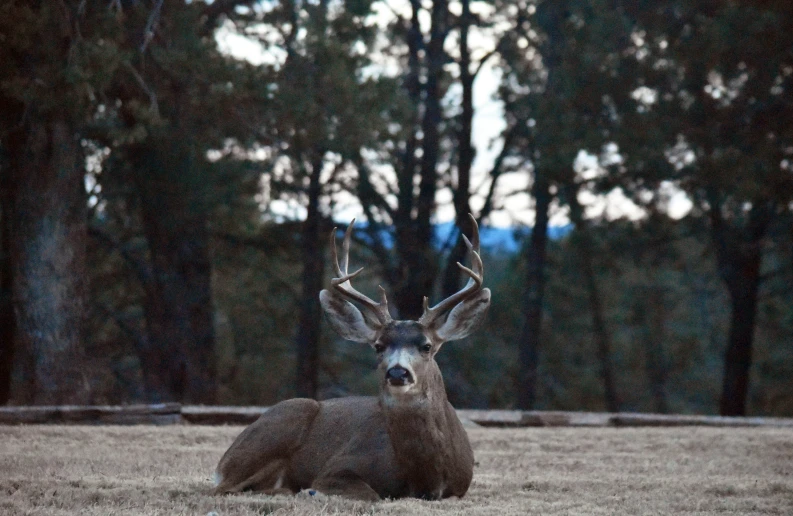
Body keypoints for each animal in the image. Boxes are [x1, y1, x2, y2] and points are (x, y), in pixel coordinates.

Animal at [210, 214, 488, 500]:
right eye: (378, 346)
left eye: (427, 346)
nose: (397, 372)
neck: (425, 479)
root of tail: (224, 460)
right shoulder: (339, 465)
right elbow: (371, 494)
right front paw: (312, 491)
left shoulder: (460, 487)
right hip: (280, 424)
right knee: (223, 488)